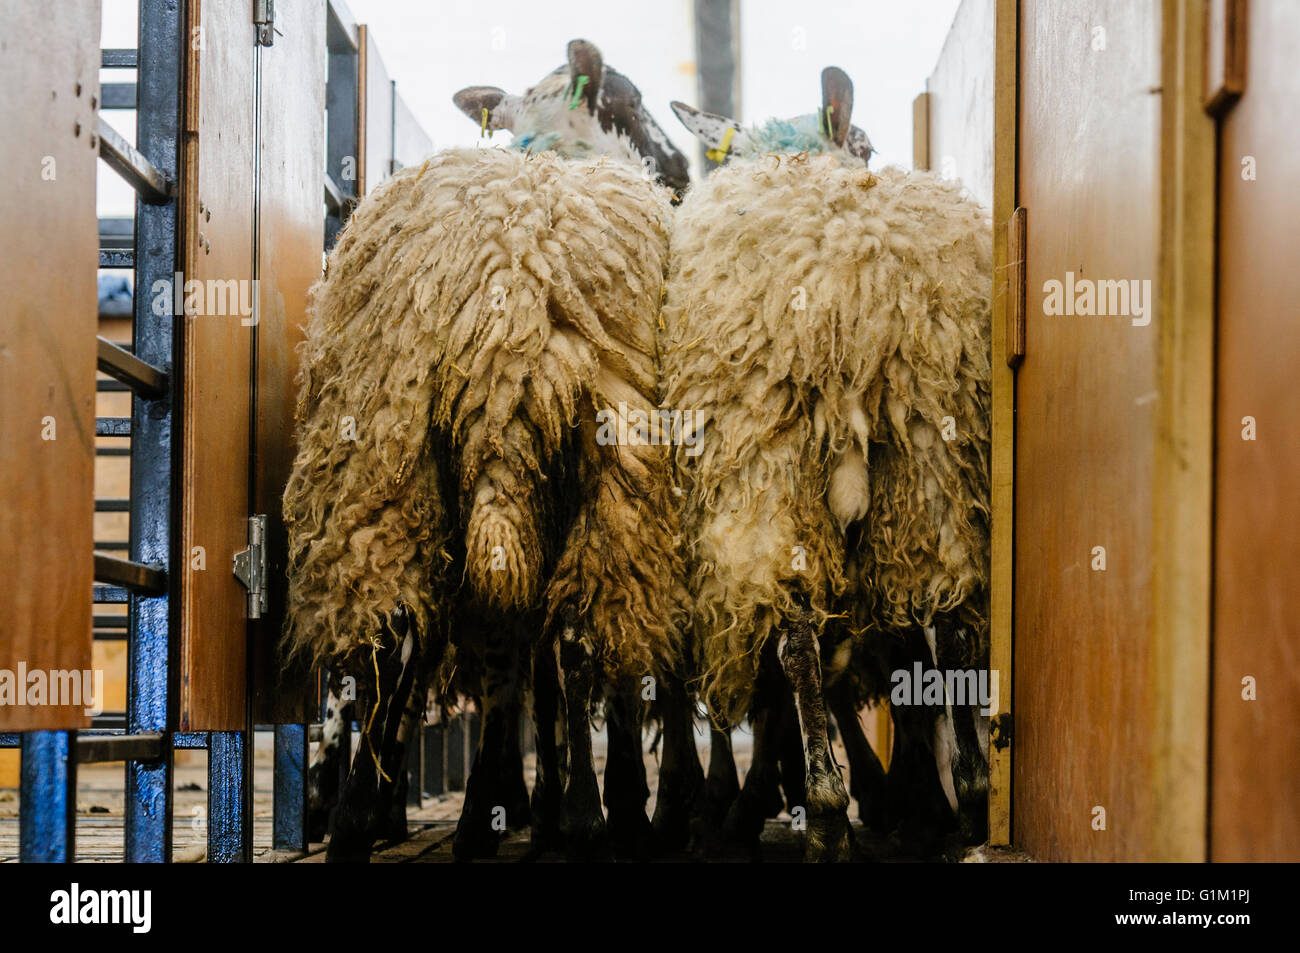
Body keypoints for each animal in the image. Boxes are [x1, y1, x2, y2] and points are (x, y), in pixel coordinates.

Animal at [279, 39, 696, 863]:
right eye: (633, 102)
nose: (680, 168)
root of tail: (515, 283)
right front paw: (587, 800)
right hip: (602, 470)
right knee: (574, 634)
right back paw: (592, 817)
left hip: (388, 450)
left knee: (398, 631)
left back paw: (365, 819)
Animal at [665, 65, 987, 852]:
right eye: (866, 142)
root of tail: (854, 289)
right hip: (928, 449)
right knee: (947, 623)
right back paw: (961, 801)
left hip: (771, 463)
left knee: (802, 646)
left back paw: (828, 809)